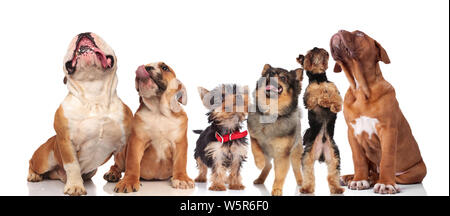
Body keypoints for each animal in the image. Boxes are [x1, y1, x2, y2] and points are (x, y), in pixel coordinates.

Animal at [27, 32, 133, 196]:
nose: (83, 32)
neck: (94, 94)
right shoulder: (66, 141)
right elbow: (72, 166)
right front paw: (75, 186)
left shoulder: (124, 143)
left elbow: (127, 162)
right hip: (44, 159)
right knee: (31, 163)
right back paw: (33, 175)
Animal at [105, 61, 195, 192]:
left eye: (165, 68)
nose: (146, 67)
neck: (159, 111)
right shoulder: (136, 141)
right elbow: (132, 163)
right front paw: (129, 181)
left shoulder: (180, 143)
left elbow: (181, 161)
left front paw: (181, 178)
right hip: (122, 154)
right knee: (116, 165)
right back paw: (112, 174)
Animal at [296, 47, 344, 194]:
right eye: (308, 54)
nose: (316, 48)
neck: (319, 78)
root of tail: (322, 154)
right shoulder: (308, 98)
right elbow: (316, 94)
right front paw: (323, 99)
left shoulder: (335, 90)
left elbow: (335, 97)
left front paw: (330, 101)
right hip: (307, 156)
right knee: (309, 174)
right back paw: (306, 188)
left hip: (334, 157)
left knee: (333, 175)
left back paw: (337, 189)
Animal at [328, 29, 428, 193]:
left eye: (360, 34)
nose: (338, 31)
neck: (360, 90)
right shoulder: (352, 133)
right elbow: (358, 159)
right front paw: (359, 179)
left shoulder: (388, 130)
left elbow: (387, 159)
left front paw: (386, 184)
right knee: (371, 170)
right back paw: (351, 177)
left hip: (417, 171)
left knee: (384, 174)